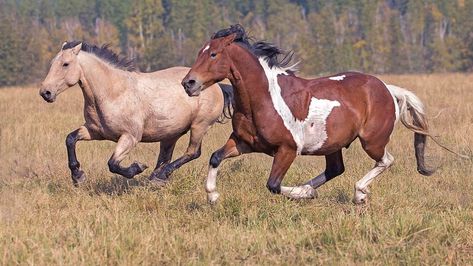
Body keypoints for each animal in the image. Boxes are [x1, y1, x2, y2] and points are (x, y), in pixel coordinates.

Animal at [39, 41, 231, 186]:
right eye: (52, 63)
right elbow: (70, 139)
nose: (45, 92)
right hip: (170, 133)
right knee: (166, 157)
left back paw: (159, 176)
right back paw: (156, 178)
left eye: (65, 64)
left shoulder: (130, 137)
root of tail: (216, 85)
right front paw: (78, 176)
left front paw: (137, 167)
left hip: (199, 126)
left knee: (193, 152)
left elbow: (113, 164)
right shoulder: (94, 131)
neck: (113, 93)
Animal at [183, 25, 444, 204]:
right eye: (199, 52)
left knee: (386, 160)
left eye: (214, 54)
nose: (189, 83)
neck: (263, 99)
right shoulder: (243, 142)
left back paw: (359, 193)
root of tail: (387, 88)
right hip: (332, 144)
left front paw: (304, 192)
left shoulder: (287, 149)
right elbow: (215, 157)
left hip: (372, 141)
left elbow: (273, 184)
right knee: (336, 169)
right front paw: (212, 196)